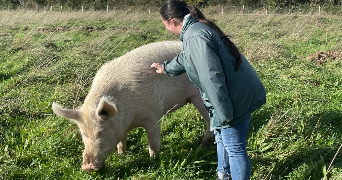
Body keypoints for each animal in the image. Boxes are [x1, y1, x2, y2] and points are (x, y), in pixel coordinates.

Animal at [52, 40, 212, 172]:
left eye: (101, 132)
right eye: (83, 134)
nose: (87, 167)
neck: (130, 119)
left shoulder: (153, 115)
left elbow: (153, 141)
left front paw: (154, 160)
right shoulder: (122, 126)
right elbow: (121, 141)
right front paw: (122, 155)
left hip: (198, 96)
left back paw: (204, 144)